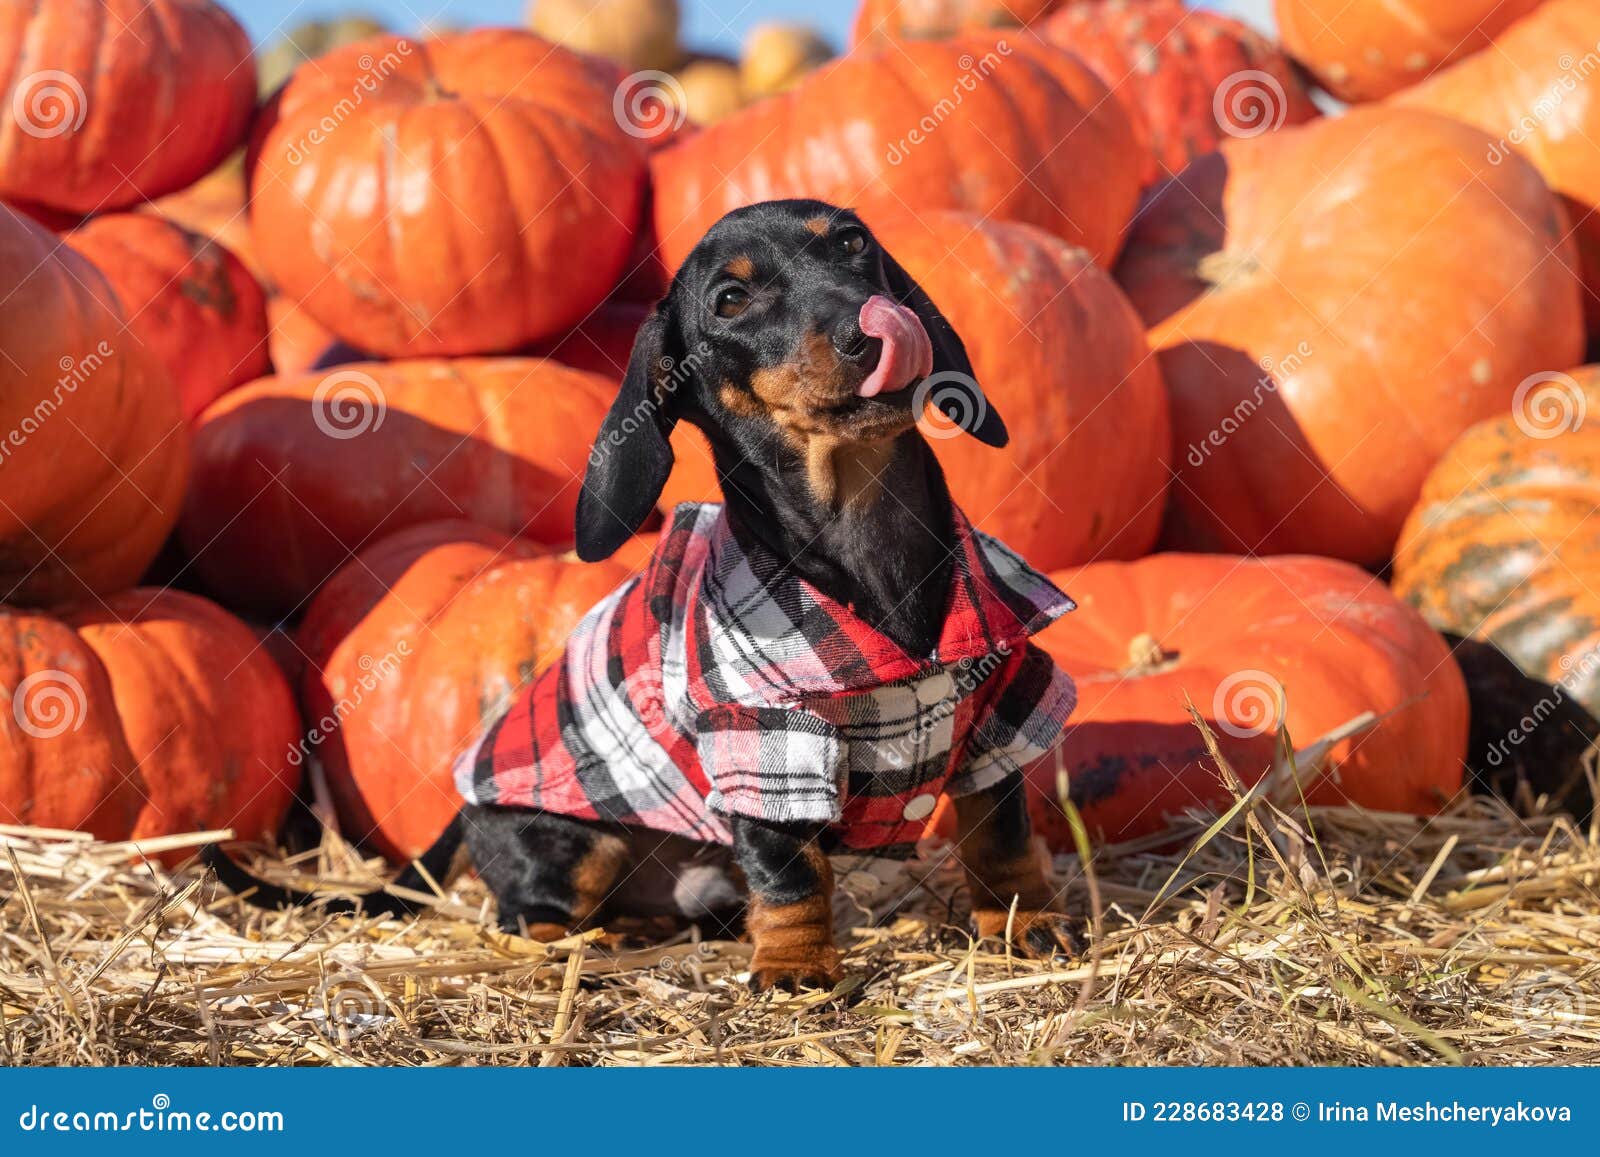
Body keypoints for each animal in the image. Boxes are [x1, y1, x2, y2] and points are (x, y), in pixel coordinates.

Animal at [206, 196, 1081, 985]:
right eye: (730, 300)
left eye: (851, 243)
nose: (868, 331)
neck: (861, 526)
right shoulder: (762, 737)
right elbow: (792, 870)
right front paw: (796, 964)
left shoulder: (1000, 700)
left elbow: (1002, 835)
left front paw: (1025, 923)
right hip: (570, 840)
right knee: (530, 911)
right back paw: (586, 946)